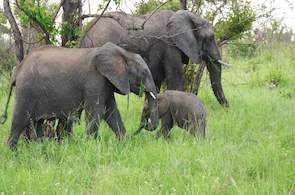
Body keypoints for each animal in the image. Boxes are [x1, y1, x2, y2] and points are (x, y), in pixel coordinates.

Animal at [5, 42, 160, 149]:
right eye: (144, 73)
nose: (141, 128)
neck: (124, 53)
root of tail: (18, 69)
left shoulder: (106, 82)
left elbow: (111, 112)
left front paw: (125, 143)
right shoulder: (94, 80)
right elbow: (97, 112)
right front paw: (90, 145)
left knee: (38, 124)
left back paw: (40, 150)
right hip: (26, 90)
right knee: (19, 120)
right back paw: (13, 155)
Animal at [80, 10, 230, 107]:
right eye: (210, 38)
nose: (227, 109)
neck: (191, 17)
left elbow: (157, 81)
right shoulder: (170, 45)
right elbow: (175, 78)